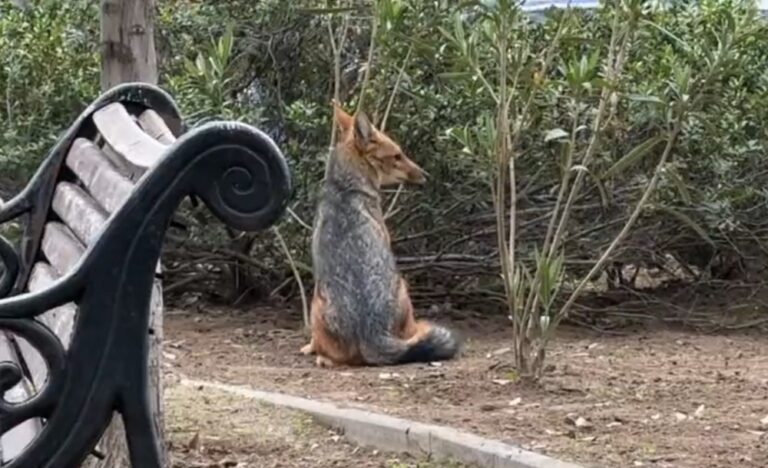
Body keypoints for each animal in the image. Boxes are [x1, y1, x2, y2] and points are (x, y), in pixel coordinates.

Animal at [300, 100, 461, 368]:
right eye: (397, 155)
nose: (425, 176)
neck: (345, 188)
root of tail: (373, 333)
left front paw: (309, 347)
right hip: (399, 286)